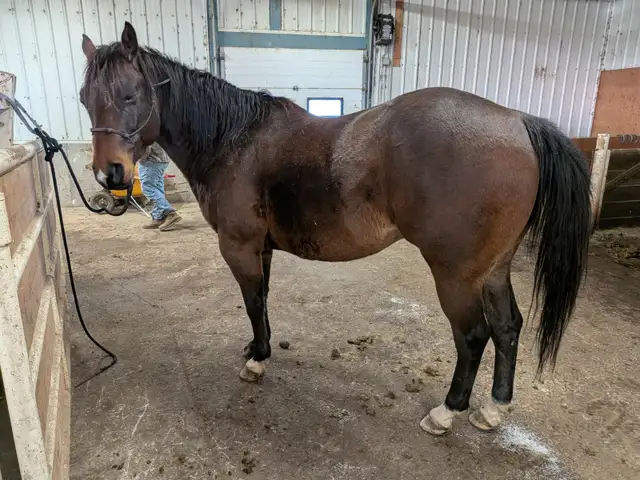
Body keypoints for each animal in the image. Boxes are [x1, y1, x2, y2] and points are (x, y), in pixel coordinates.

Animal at [79, 22, 591, 436]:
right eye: (86, 99)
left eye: (130, 95)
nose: (110, 176)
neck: (233, 141)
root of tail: (518, 122)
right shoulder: (261, 249)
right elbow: (262, 300)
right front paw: (258, 346)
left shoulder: (239, 247)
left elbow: (251, 302)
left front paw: (256, 361)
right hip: (493, 269)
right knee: (507, 328)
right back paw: (493, 409)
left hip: (456, 276)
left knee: (473, 337)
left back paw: (447, 413)